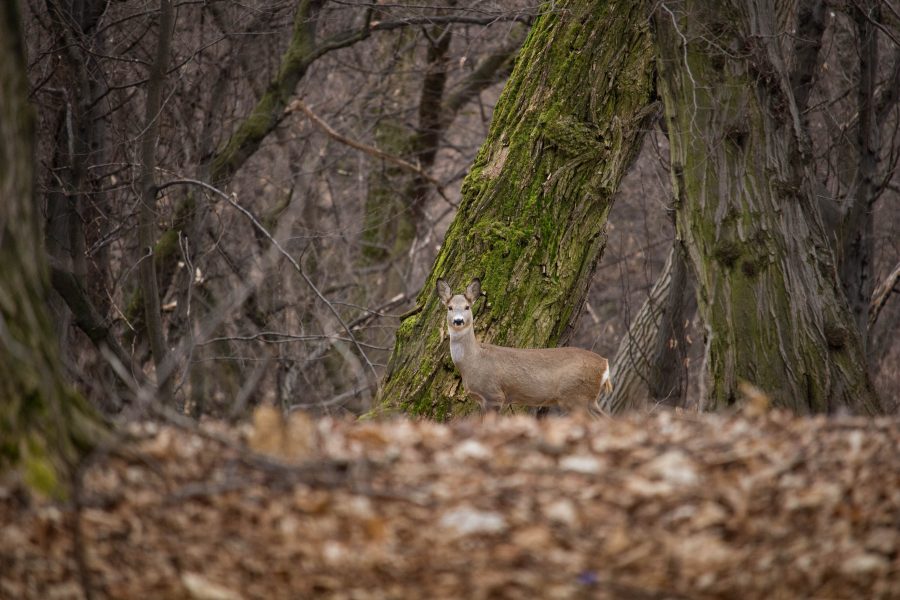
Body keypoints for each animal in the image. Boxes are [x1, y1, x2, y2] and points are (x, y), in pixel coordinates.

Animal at [436, 278, 612, 414]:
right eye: (450, 307)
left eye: (467, 307)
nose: (458, 321)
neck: (473, 361)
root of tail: (604, 364)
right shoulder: (483, 400)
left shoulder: (494, 395)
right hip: (587, 399)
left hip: (575, 395)